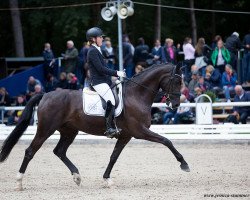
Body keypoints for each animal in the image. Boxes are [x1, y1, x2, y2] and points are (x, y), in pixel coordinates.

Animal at [0, 63, 189, 190]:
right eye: (177, 81)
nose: (176, 105)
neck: (137, 95)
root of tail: (45, 94)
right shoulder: (140, 131)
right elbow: (167, 141)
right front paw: (184, 164)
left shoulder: (125, 135)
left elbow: (114, 156)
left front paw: (107, 179)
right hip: (46, 129)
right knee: (30, 151)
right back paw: (19, 182)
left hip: (69, 131)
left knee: (59, 151)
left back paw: (77, 176)